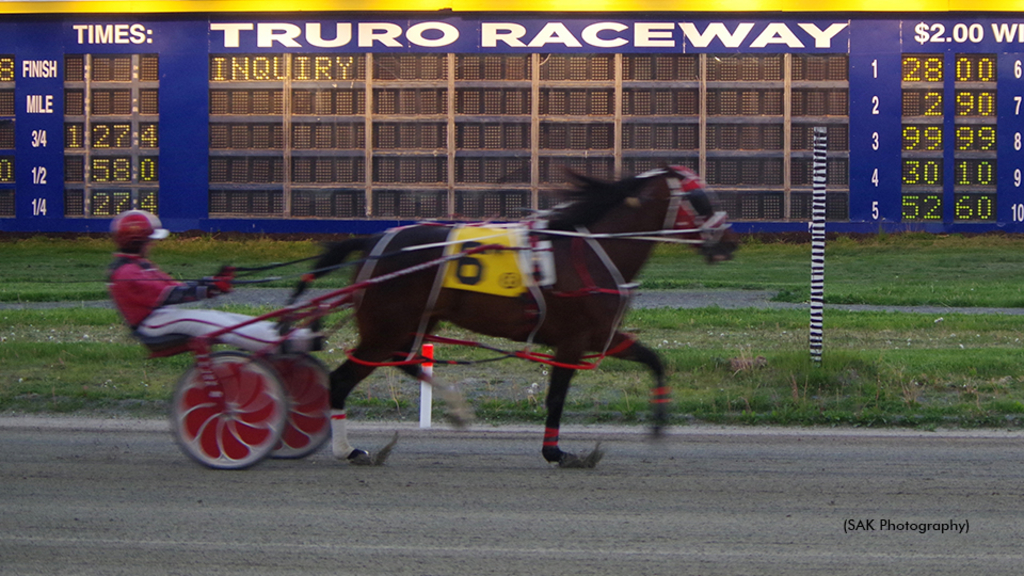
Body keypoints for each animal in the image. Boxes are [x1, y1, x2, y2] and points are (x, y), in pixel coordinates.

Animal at [294, 163, 737, 463]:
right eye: (701, 197)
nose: (730, 243)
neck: (591, 253)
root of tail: (373, 241)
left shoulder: (603, 337)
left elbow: (654, 361)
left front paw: (659, 423)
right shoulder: (574, 340)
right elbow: (556, 396)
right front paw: (556, 453)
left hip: (410, 323)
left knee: (404, 361)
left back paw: (456, 408)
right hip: (384, 328)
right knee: (340, 380)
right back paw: (347, 449)